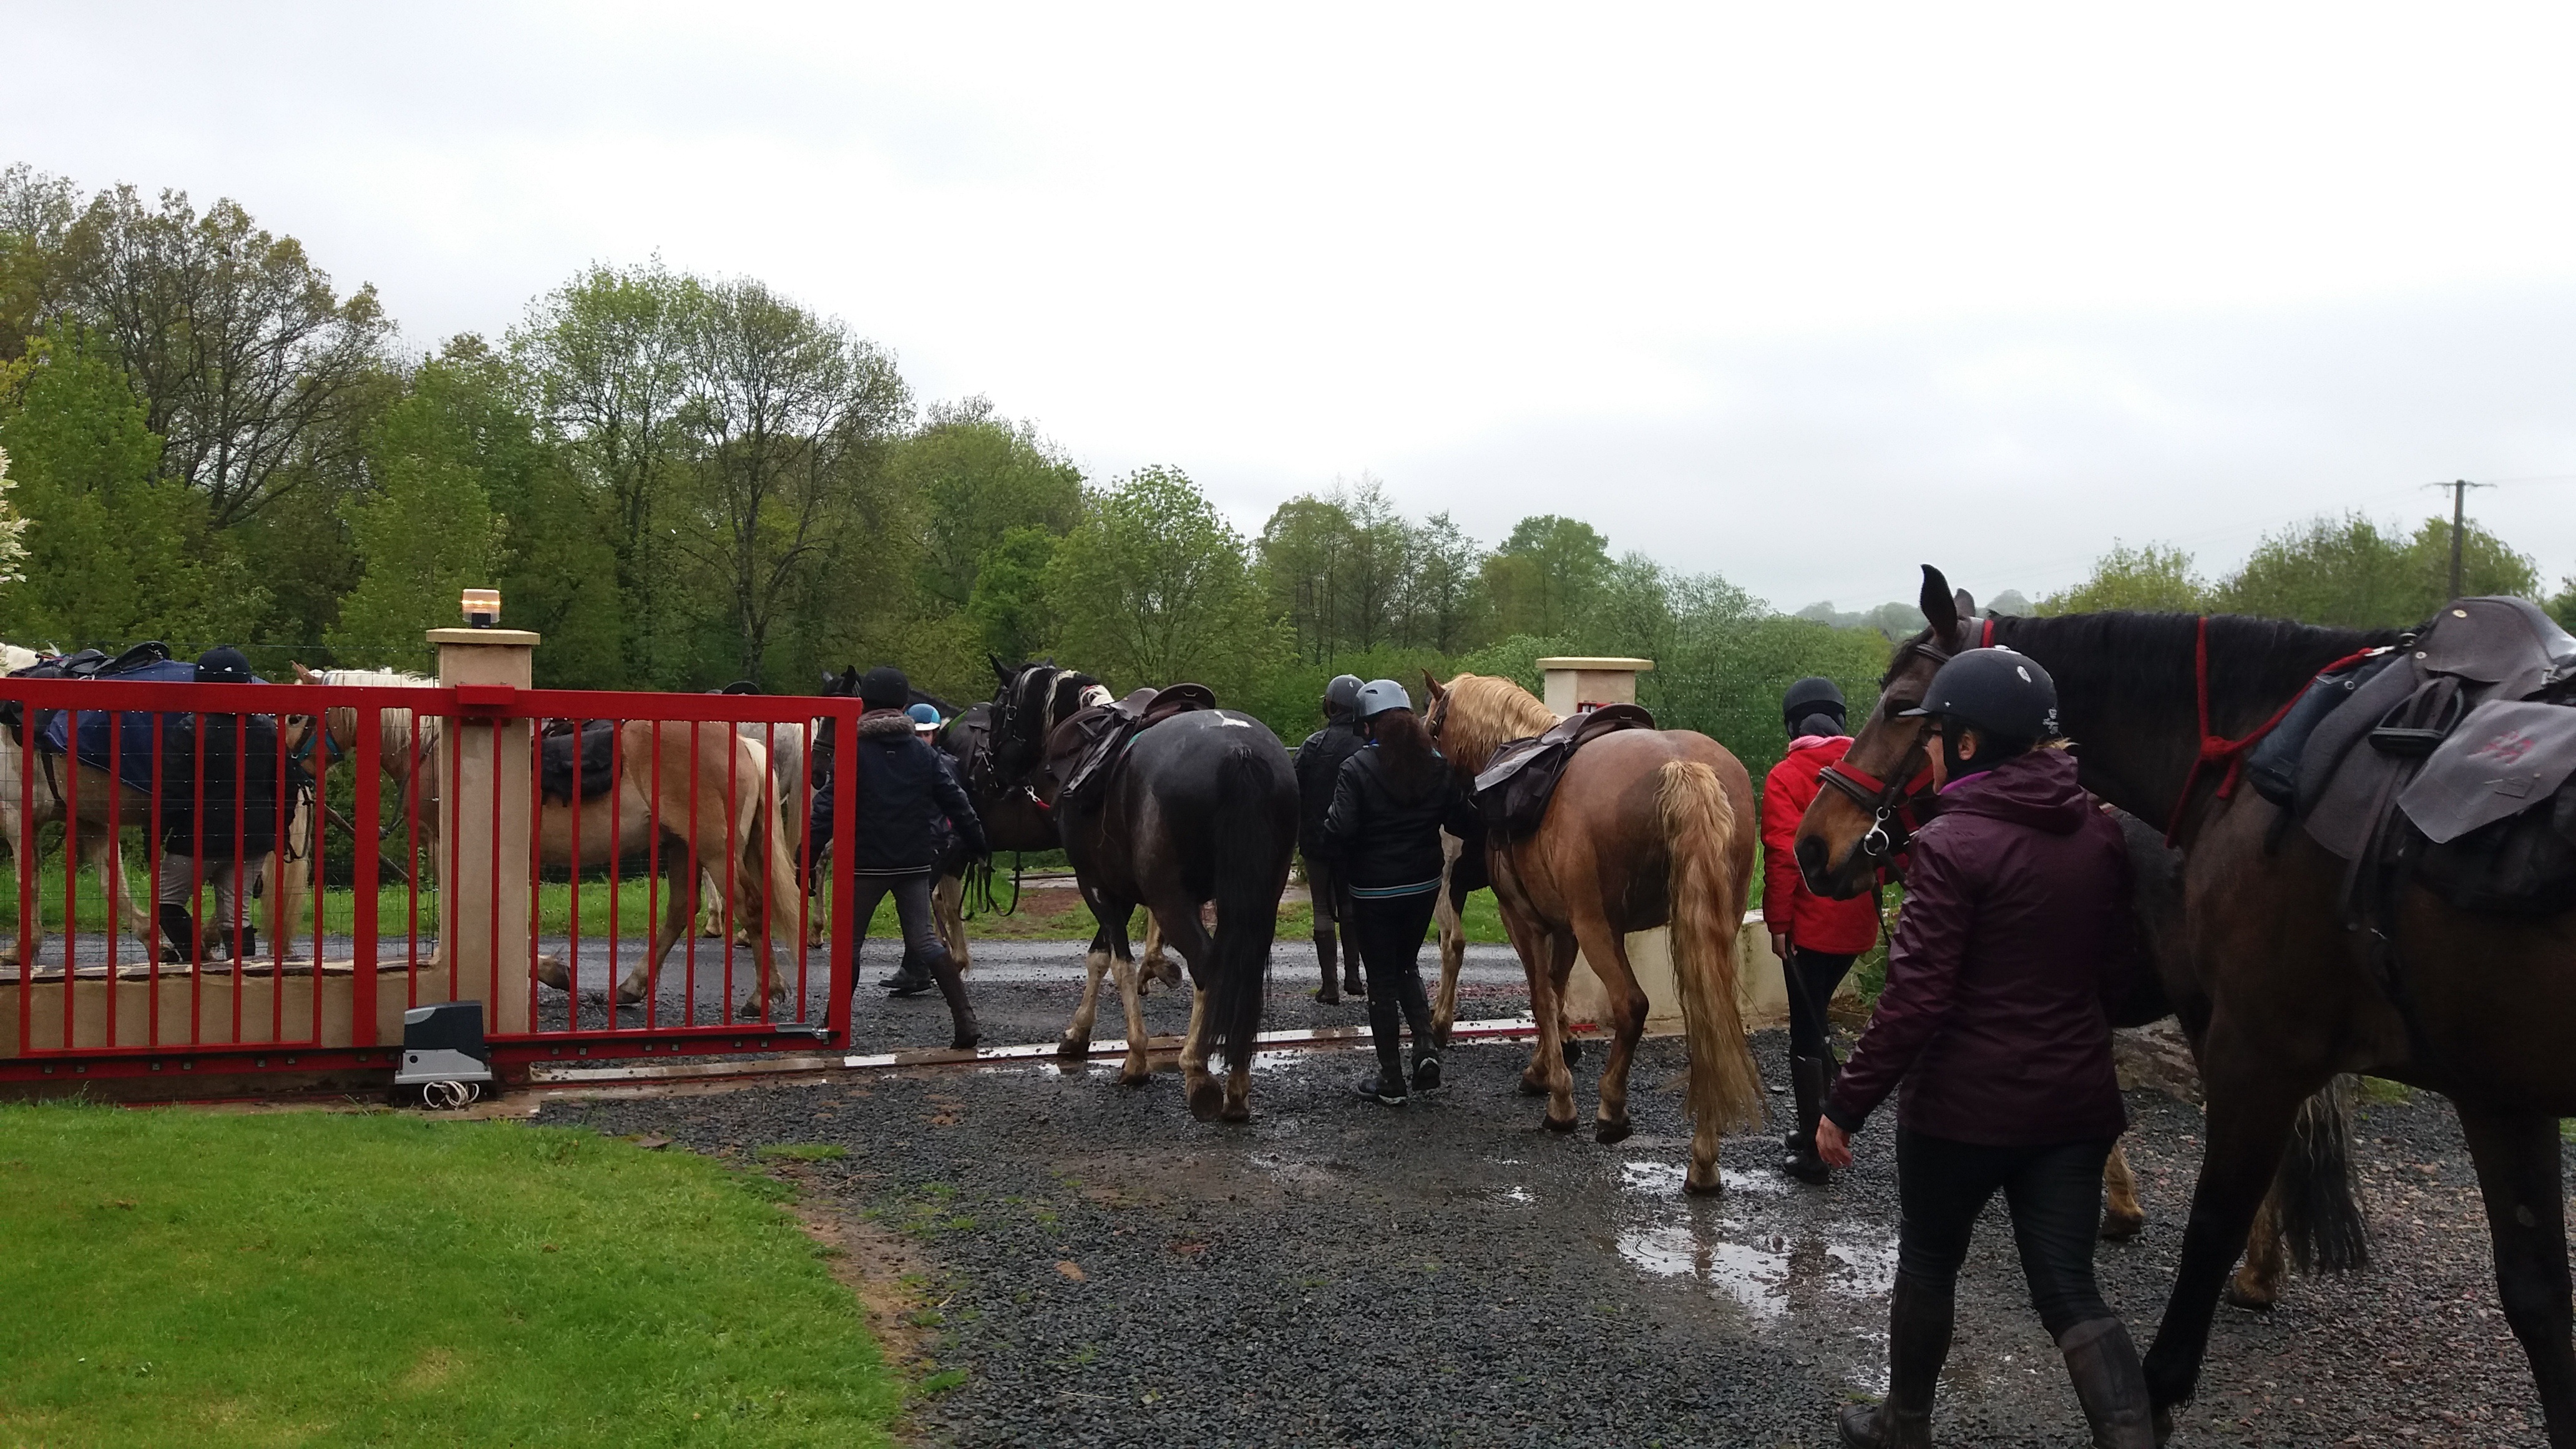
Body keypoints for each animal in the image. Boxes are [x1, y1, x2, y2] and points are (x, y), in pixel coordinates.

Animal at [293, 667, 802, 1019]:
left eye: (299, 715)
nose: (292, 767)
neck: (436, 749)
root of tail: (745, 746)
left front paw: (551, 973)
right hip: (681, 845)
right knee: (682, 910)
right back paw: (632, 988)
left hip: (713, 849)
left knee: (750, 905)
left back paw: (761, 995)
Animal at [993, 667, 1297, 1121]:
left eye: (1002, 710)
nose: (992, 770)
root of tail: (1239, 751)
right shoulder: (1122, 890)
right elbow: (1101, 957)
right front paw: (1079, 1033)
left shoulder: (1096, 884)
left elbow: (1116, 963)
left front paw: (1135, 1057)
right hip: (1258, 899)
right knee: (1240, 971)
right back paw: (1237, 1087)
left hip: (1173, 898)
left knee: (1208, 965)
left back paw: (1197, 1070)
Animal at [1421, 671, 1763, 1195]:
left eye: (1433, 726)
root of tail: (1682, 765)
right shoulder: (1564, 928)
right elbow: (1557, 989)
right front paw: (1545, 1066)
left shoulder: (1524, 918)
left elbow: (1542, 996)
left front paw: (1559, 1100)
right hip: (1710, 928)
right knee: (1709, 1020)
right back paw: (1704, 1162)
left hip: (1599, 927)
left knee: (1632, 1005)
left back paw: (1611, 1111)